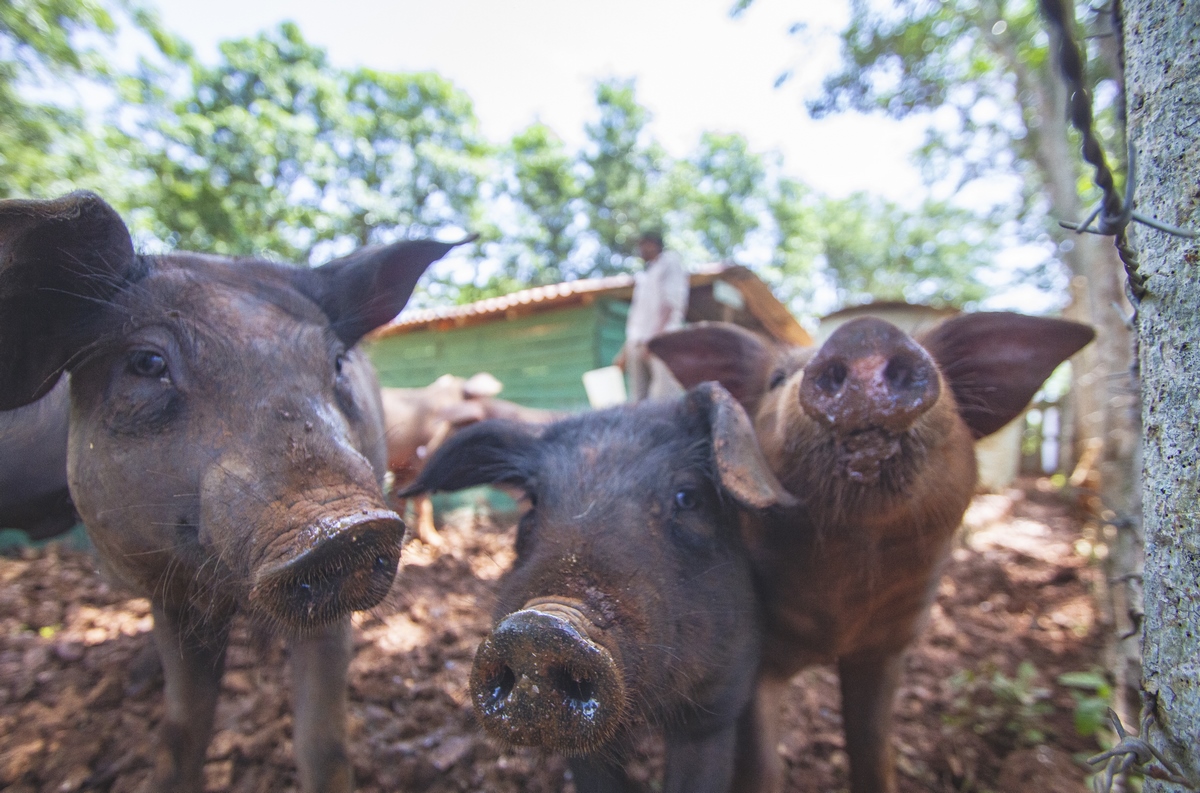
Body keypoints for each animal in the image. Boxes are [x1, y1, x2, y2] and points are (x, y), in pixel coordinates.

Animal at [0, 191, 468, 791]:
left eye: (336, 362)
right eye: (147, 362)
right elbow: (181, 726)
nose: (349, 527)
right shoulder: (170, 596)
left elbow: (322, 740)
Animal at [652, 311, 1094, 787]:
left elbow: (873, 746)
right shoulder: (752, 653)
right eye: (777, 378)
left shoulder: (888, 646)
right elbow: (763, 765)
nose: (864, 332)